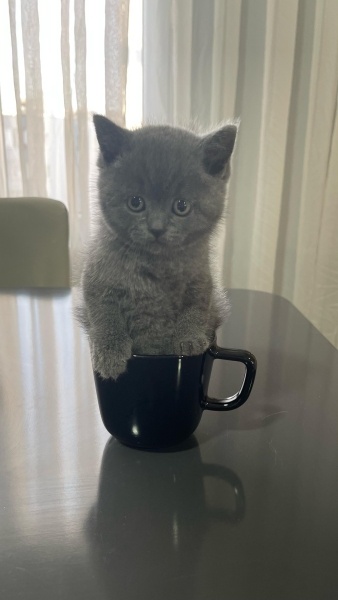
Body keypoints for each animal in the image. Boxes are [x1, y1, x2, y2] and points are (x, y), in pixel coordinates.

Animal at [77, 115, 236, 380]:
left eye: (181, 206)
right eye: (135, 202)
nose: (157, 228)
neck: (157, 266)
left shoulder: (201, 277)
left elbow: (198, 304)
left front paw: (190, 338)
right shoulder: (96, 275)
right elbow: (103, 311)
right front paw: (109, 353)